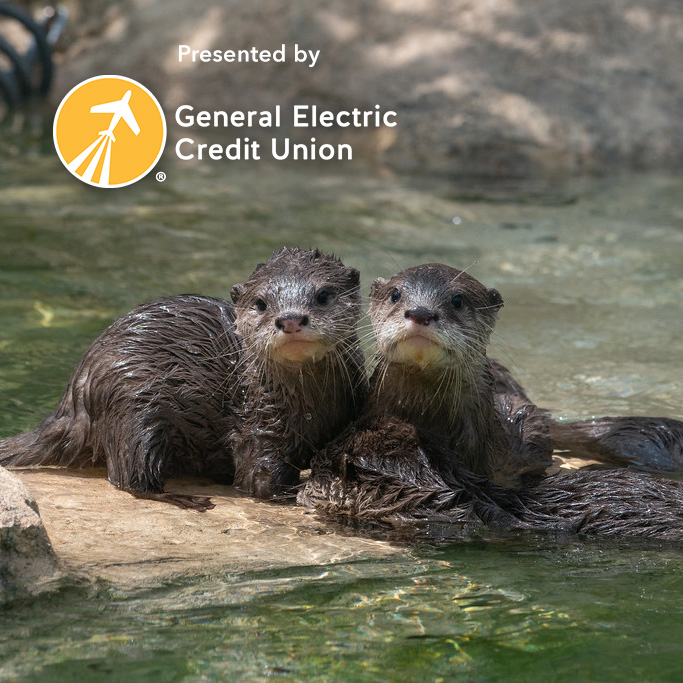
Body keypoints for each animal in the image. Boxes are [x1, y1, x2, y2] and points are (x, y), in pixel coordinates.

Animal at [0, 247, 366, 508]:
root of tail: (74, 398)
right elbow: (260, 481)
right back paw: (183, 498)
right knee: (129, 475)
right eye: (261, 303)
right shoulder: (258, 429)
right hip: (132, 403)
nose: (290, 319)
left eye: (323, 295)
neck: (309, 408)